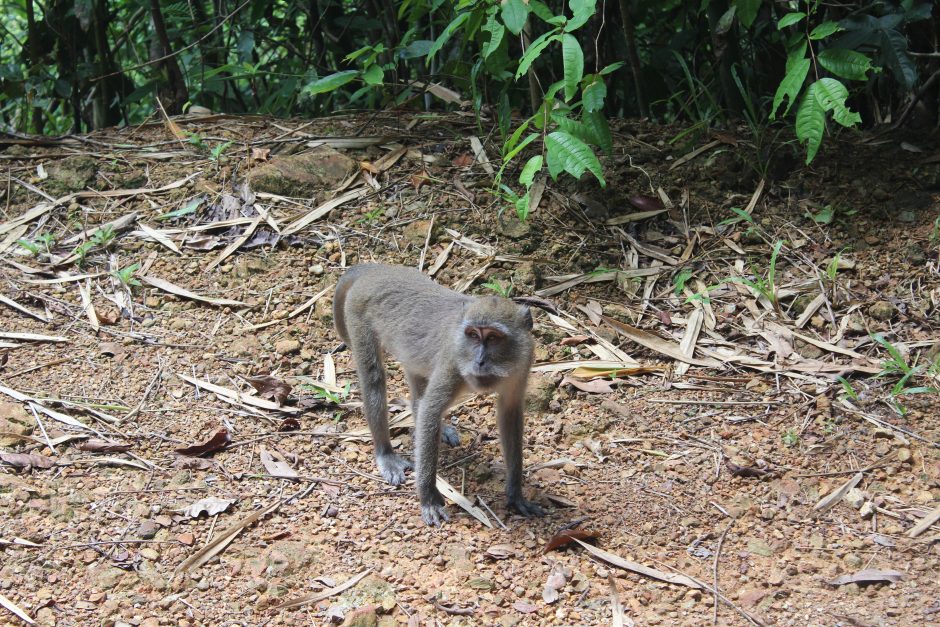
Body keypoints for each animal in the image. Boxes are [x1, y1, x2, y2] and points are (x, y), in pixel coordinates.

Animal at [334, 262, 548, 528]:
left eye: (493, 338)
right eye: (473, 335)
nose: (479, 361)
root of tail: (375, 270)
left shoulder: (523, 365)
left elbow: (510, 414)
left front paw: (515, 492)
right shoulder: (452, 361)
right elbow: (430, 410)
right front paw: (428, 498)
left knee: (417, 379)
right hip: (357, 312)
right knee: (374, 380)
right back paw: (385, 453)